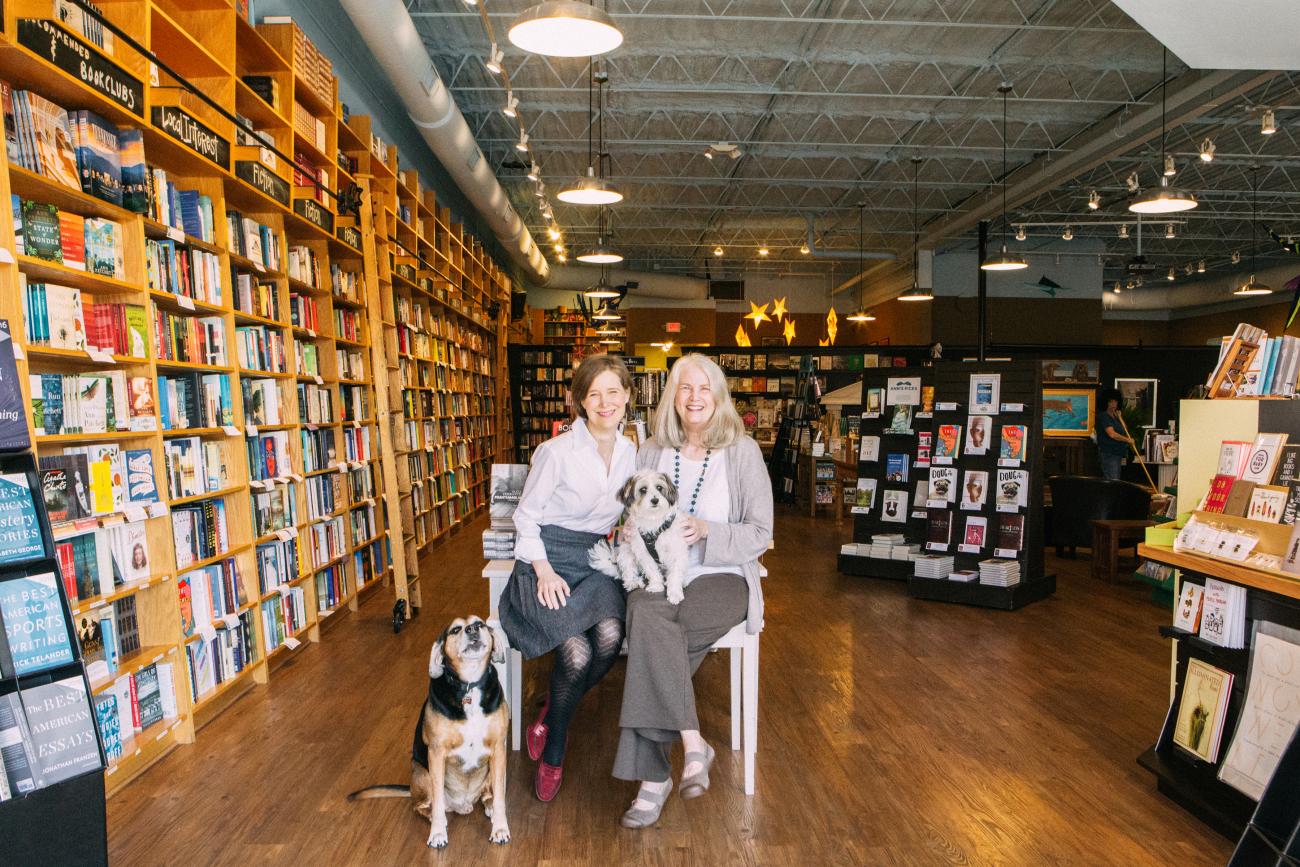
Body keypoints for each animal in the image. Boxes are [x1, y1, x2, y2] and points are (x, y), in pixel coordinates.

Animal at [348, 616, 509, 847]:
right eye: (456, 630)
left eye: (480, 623)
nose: (473, 629)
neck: (469, 686)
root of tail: (464, 804)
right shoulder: (436, 753)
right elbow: (439, 803)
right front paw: (438, 833)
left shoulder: (498, 749)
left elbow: (500, 799)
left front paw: (500, 828)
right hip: (420, 772)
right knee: (422, 805)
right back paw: (434, 816)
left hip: (493, 769)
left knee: (489, 795)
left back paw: (488, 807)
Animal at [590, 475, 691, 603]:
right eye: (643, 489)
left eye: (659, 487)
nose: (655, 500)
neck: (654, 519)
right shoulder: (643, 552)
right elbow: (652, 570)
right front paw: (656, 586)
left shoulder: (677, 550)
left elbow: (675, 573)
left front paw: (674, 593)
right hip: (626, 551)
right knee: (628, 570)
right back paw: (633, 582)